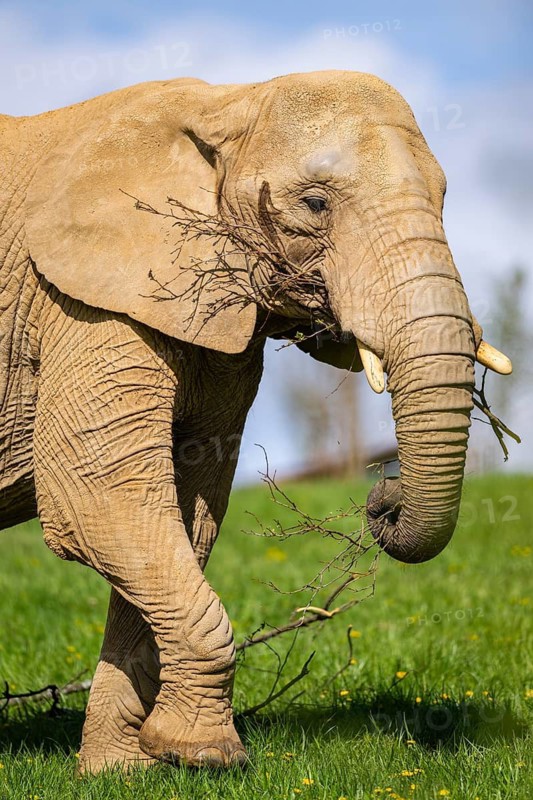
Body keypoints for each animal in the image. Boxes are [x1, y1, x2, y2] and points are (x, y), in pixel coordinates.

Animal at [0, 70, 512, 773]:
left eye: (443, 198)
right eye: (316, 204)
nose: (382, 495)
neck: (230, 98)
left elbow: (185, 511)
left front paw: (126, 771)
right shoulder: (83, 300)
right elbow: (98, 496)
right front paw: (204, 755)